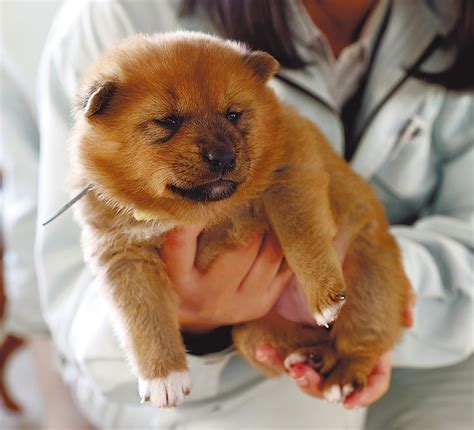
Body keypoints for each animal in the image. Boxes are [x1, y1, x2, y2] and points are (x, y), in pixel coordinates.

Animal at [69, 31, 412, 408]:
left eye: (233, 114)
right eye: (168, 121)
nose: (223, 157)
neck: (197, 211)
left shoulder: (290, 171)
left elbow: (301, 236)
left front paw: (324, 296)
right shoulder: (123, 255)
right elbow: (143, 316)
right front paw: (164, 377)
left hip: (371, 284)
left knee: (361, 340)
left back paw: (344, 376)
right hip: (250, 330)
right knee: (308, 342)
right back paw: (310, 356)